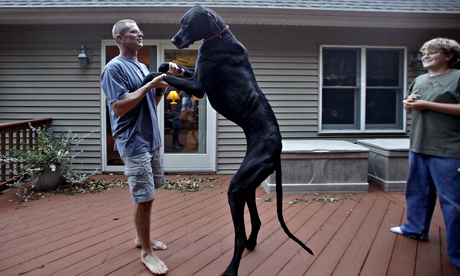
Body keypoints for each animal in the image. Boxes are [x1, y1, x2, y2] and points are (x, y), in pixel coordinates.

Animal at [144, 4, 314, 276]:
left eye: (186, 23)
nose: (173, 40)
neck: (218, 36)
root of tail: (277, 149)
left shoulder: (198, 85)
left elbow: (160, 76)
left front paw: (148, 76)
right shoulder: (195, 71)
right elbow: (167, 68)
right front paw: (164, 64)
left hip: (237, 188)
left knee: (239, 236)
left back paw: (232, 268)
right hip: (248, 185)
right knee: (256, 220)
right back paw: (252, 244)